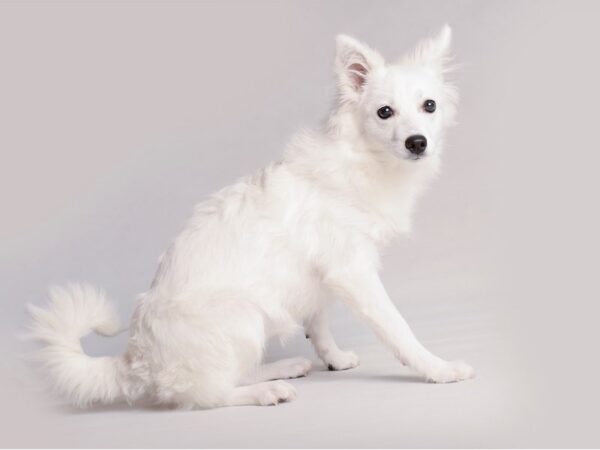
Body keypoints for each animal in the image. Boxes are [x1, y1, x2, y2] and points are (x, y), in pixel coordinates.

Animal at [28, 26, 476, 410]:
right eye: (385, 113)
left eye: (429, 106)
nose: (417, 142)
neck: (363, 160)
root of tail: (136, 360)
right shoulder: (353, 272)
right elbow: (398, 328)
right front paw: (438, 369)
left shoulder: (319, 275)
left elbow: (319, 320)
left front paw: (332, 357)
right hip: (244, 316)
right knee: (207, 393)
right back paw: (266, 390)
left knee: (231, 374)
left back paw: (284, 368)